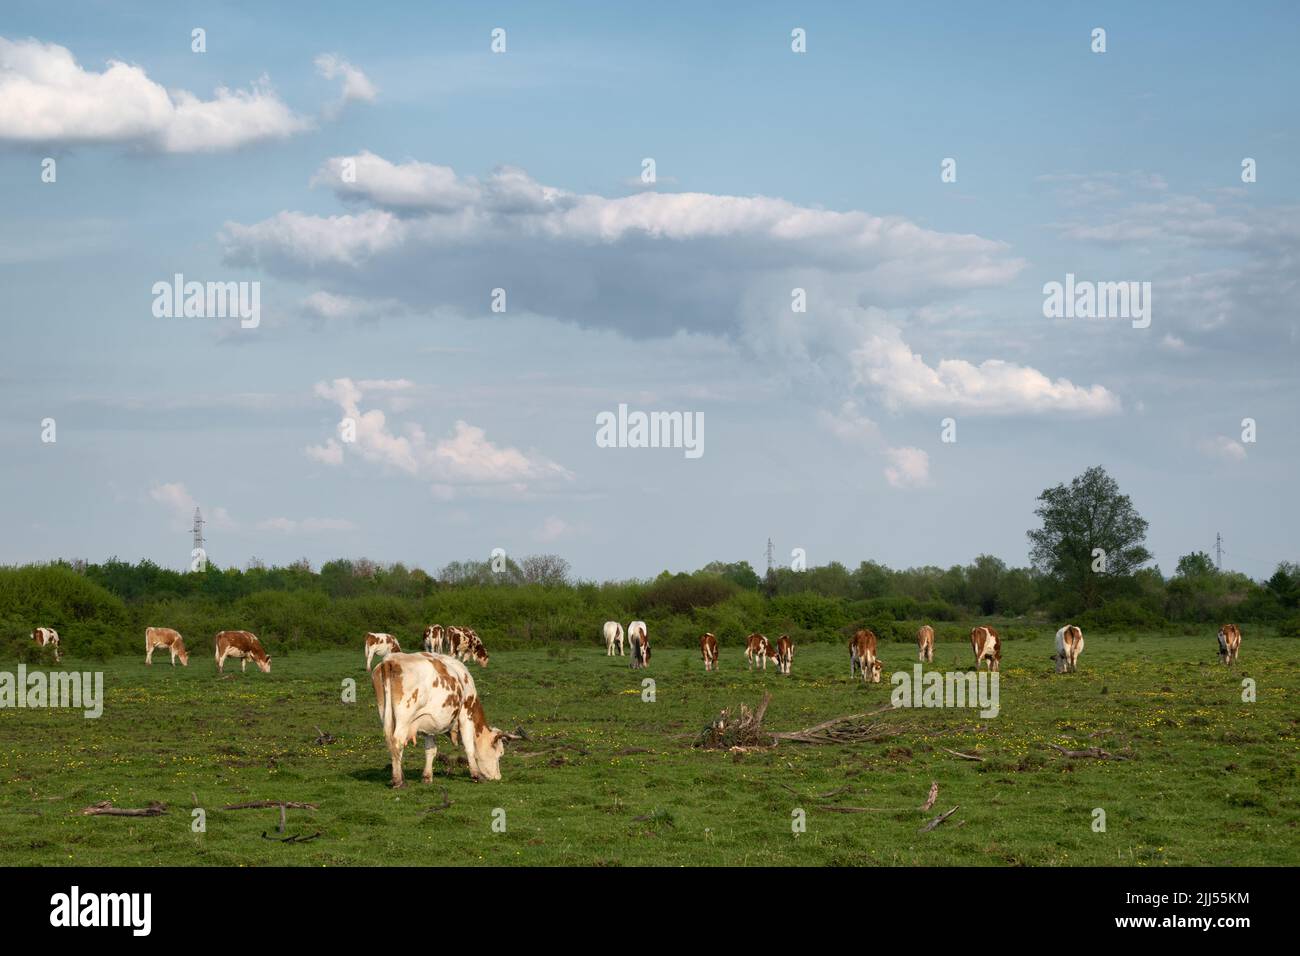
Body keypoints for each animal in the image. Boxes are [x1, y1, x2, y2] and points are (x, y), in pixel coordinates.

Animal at [369, 650, 509, 785]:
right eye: (500, 754)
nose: (498, 777)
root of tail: (390, 660)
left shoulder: (427, 721)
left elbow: (431, 750)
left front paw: (427, 777)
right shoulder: (466, 715)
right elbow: (469, 746)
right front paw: (476, 775)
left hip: (385, 712)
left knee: (392, 743)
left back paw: (398, 776)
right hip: (404, 716)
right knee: (397, 742)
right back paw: (398, 781)